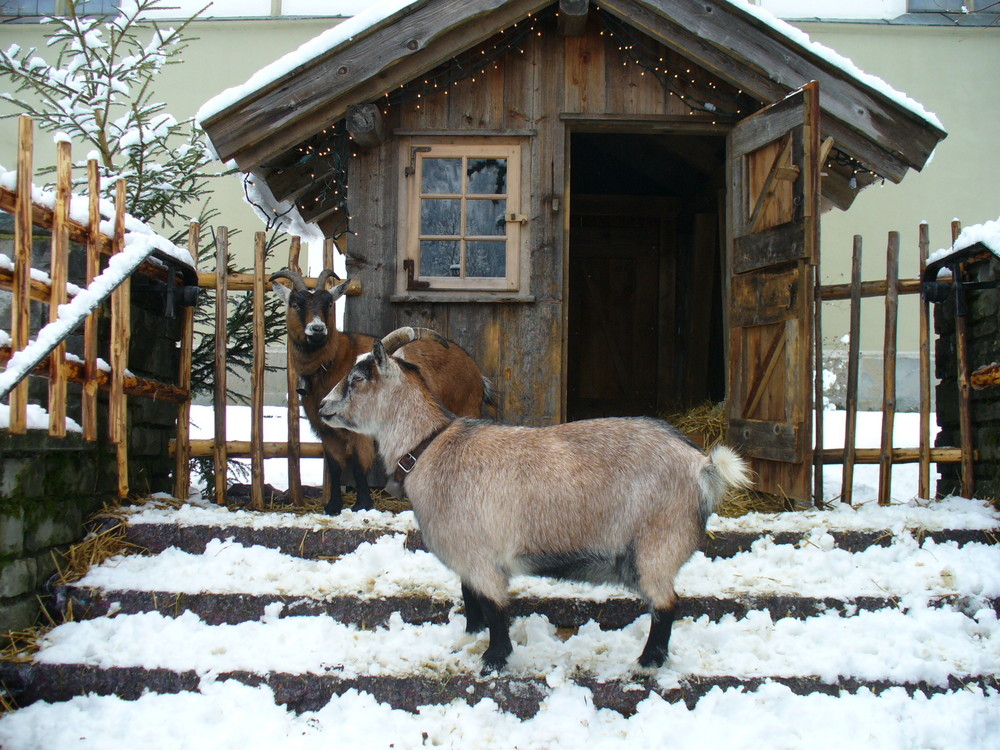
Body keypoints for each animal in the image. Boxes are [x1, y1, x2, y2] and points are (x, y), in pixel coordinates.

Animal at [272, 270, 494, 516]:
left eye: (329, 303)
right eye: (295, 304)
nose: (317, 329)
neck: (333, 359)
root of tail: (476, 372)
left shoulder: (359, 433)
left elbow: (359, 466)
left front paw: (362, 505)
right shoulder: (326, 431)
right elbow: (335, 466)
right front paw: (333, 506)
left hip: (466, 409)